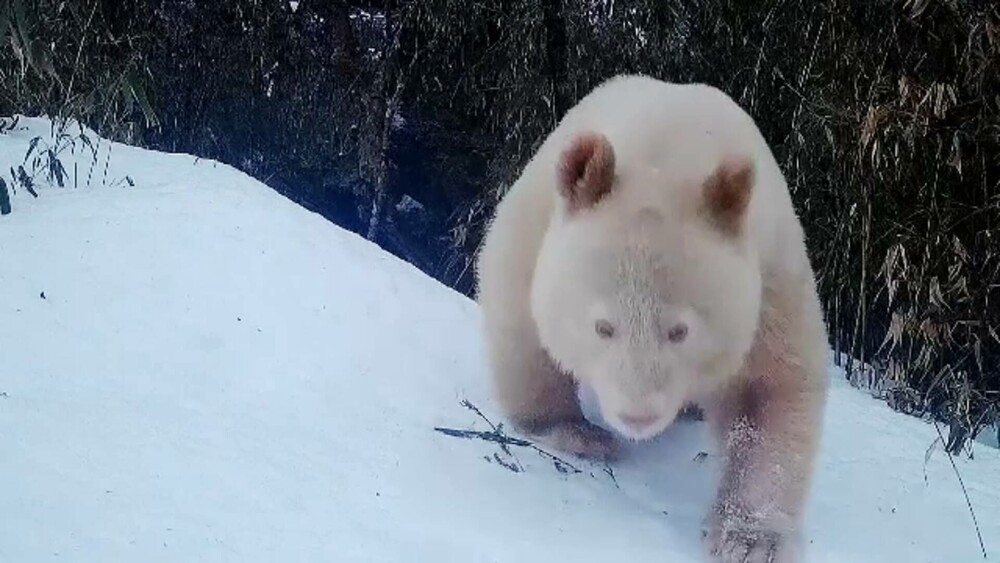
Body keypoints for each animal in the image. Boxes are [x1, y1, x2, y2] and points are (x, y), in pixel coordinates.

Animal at [474, 72, 828, 560]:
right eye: (603, 327)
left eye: (679, 331)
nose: (636, 417)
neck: (670, 153)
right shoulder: (539, 221)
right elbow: (522, 319)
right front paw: (579, 433)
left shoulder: (771, 273)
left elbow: (770, 391)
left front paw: (751, 539)